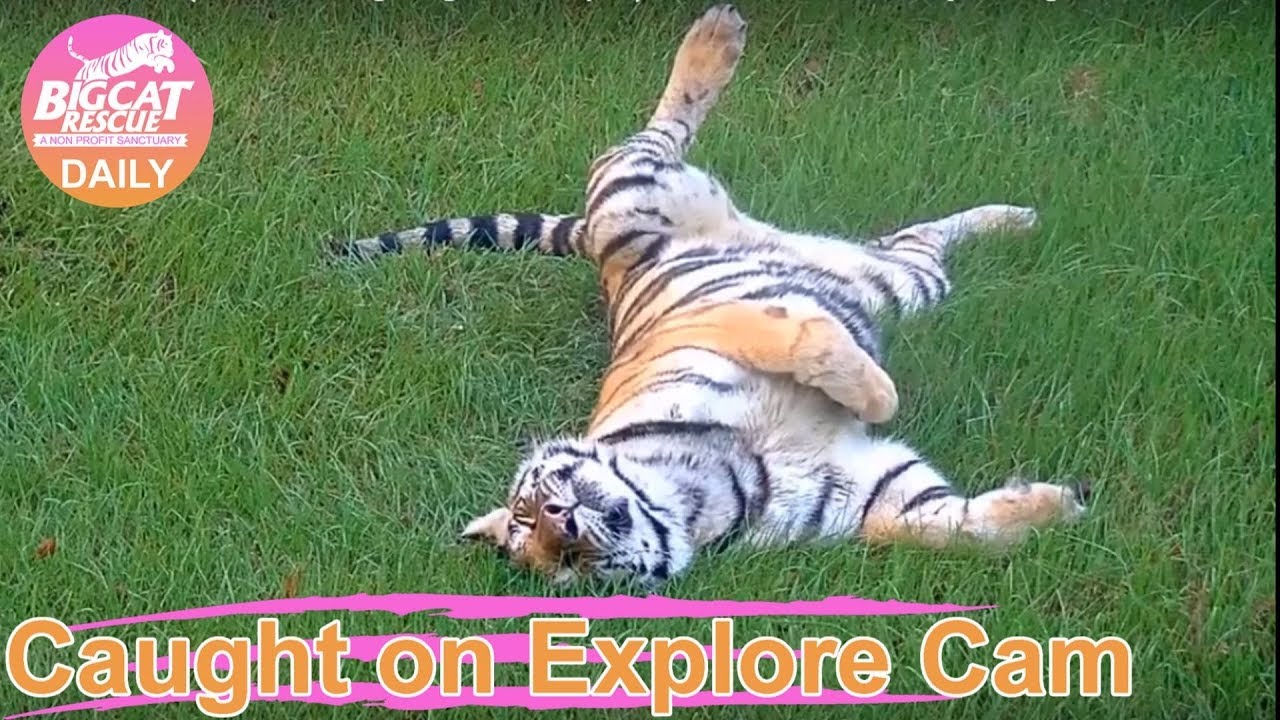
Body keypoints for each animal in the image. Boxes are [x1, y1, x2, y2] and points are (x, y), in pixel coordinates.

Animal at [333, 5, 1090, 586]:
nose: (562, 524)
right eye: (560, 562)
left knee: (655, 129)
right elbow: (952, 529)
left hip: (632, 193)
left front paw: (877, 390)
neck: (703, 498)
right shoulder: (878, 494)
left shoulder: (731, 324)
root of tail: (594, 246)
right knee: (921, 237)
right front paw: (1062, 503)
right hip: (902, 279)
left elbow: (817, 346)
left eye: (533, 506)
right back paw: (1019, 221)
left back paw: (717, 34)